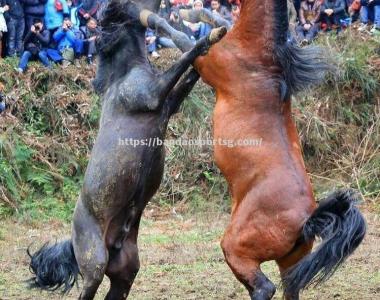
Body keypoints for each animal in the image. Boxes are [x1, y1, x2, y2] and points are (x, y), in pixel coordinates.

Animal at [28, 1, 227, 298]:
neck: (121, 74)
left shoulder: (169, 104)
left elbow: (189, 75)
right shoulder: (154, 94)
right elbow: (183, 62)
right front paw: (209, 37)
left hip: (125, 273)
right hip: (95, 264)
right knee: (88, 288)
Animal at [183, 0, 366, 298]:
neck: (257, 50)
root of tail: (305, 222)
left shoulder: (205, 62)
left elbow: (176, 34)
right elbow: (214, 21)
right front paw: (198, 15)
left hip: (237, 247)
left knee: (263, 287)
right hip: (290, 264)